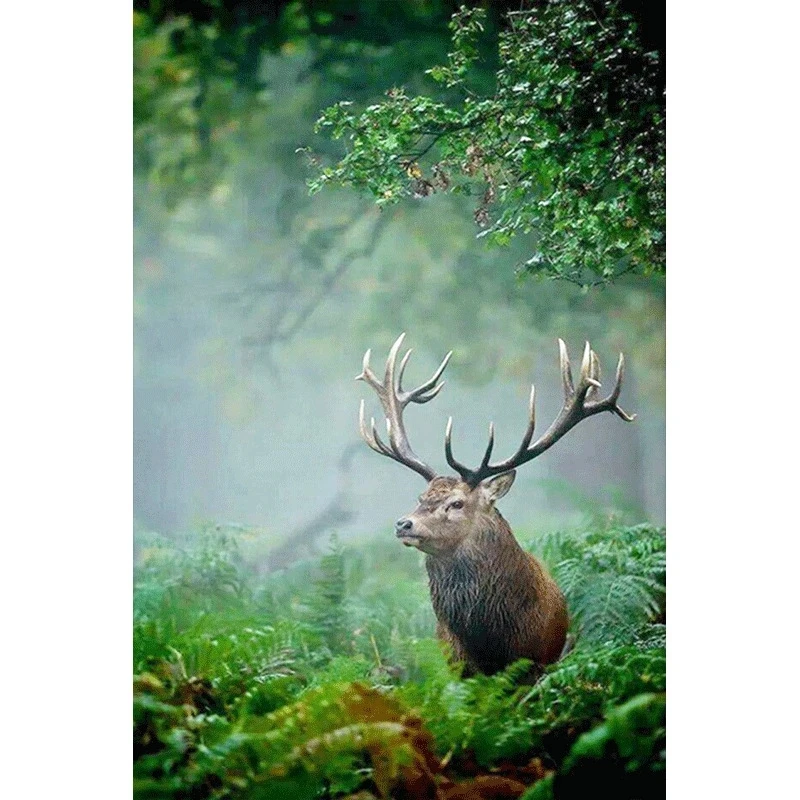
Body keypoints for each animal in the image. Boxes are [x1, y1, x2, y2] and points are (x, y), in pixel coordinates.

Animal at [355, 333, 635, 677]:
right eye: (421, 498)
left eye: (456, 503)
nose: (403, 523)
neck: (491, 643)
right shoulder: (458, 667)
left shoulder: (536, 663)